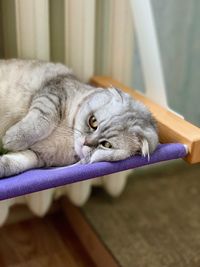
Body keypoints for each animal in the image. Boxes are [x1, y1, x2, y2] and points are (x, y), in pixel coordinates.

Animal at [0, 59, 159, 179]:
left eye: (106, 145)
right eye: (93, 121)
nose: (85, 142)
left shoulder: (38, 156)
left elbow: (15, 163)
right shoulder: (53, 94)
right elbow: (41, 121)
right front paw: (12, 138)